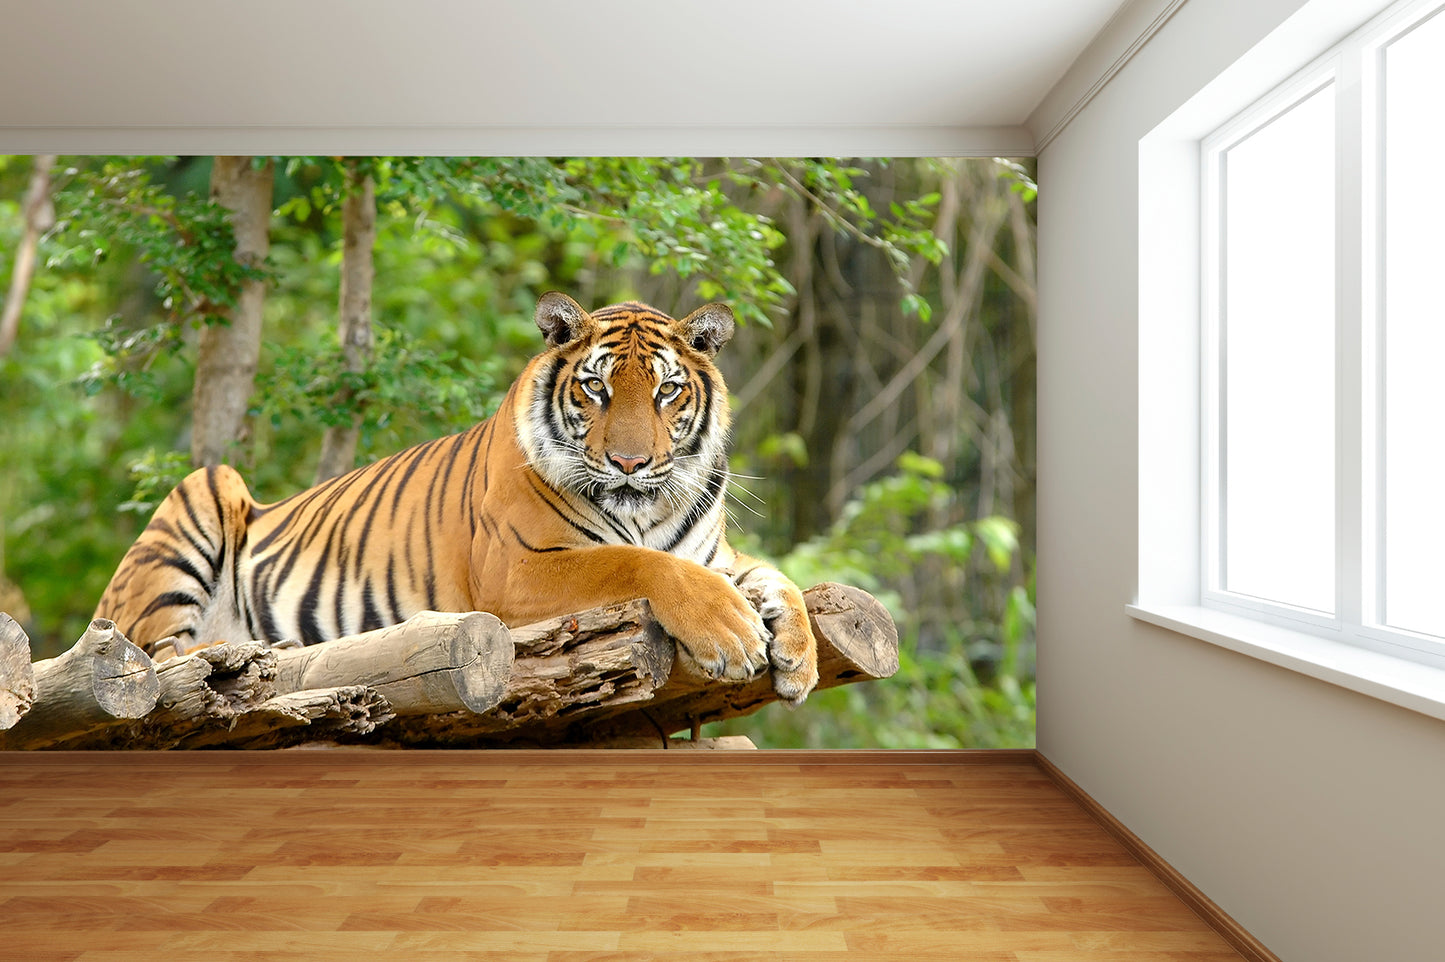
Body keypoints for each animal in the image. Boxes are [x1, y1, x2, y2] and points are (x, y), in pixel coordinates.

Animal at [94, 292, 820, 704]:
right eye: (597, 388)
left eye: (667, 390)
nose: (630, 463)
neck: (647, 510)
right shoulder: (519, 570)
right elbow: (637, 562)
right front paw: (732, 634)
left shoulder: (716, 557)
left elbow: (777, 577)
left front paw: (799, 656)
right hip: (204, 495)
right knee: (157, 655)